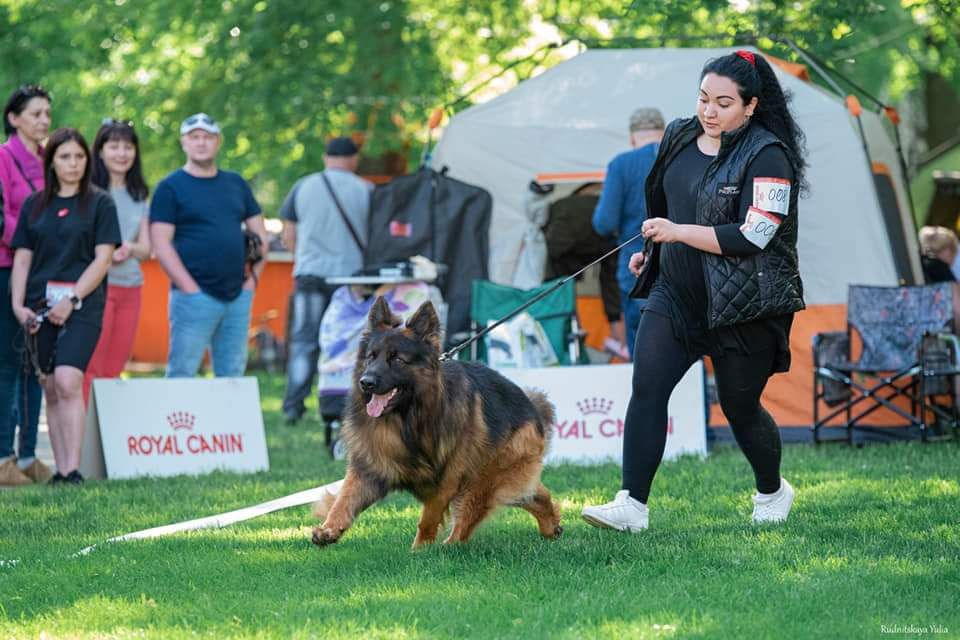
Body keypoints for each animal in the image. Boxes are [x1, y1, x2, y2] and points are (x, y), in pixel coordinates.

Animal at [312, 298, 564, 548]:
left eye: (397, 359)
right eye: (371, 357)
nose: (366, 382)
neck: (406, 418)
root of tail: (530, 405)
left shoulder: (446, 480)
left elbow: (428, 520)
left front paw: (420, 550)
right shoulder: (371, 466)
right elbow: (344, 500)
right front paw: (329, 529)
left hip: (482, 480)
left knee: (469, 516)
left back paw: (450, 545)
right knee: (534, 495)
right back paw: (551, 526)